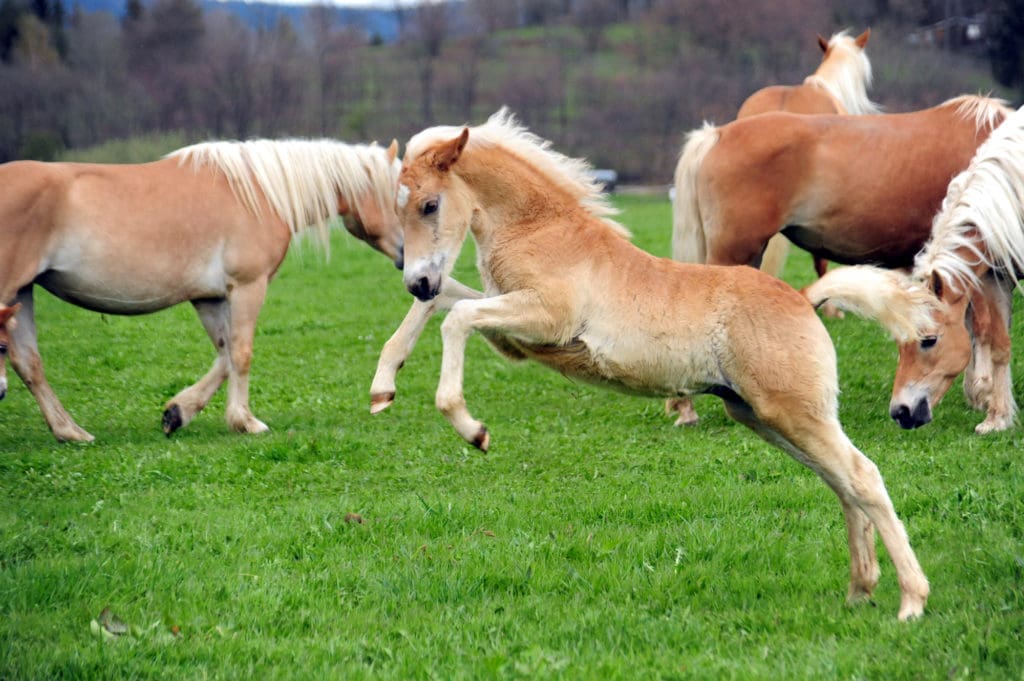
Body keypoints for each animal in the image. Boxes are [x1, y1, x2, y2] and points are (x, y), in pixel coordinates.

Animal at [4, 140, 403, 444]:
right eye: (400, 195)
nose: (406, 256)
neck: (257, 193)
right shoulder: (247, 287)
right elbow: (240, 353)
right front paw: (245, 421)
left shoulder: (209, 298)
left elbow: (224, 356)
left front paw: (177, 413)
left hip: (22, 293)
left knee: (28, 362)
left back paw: (70, 431)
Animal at [389, 107, 929, 622]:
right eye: (397, 208)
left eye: (430, 205)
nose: (415, 279)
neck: (541, 230)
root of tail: (803, 298)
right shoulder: (513, 339)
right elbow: (447, 303)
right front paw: (384, 384)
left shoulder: (545, 319)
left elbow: (456, 316)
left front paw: (471, 429)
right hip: (766, 416)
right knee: (841, 483)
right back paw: (860, 590)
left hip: (795, 412)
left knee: (862, 477)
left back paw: (911, 600)